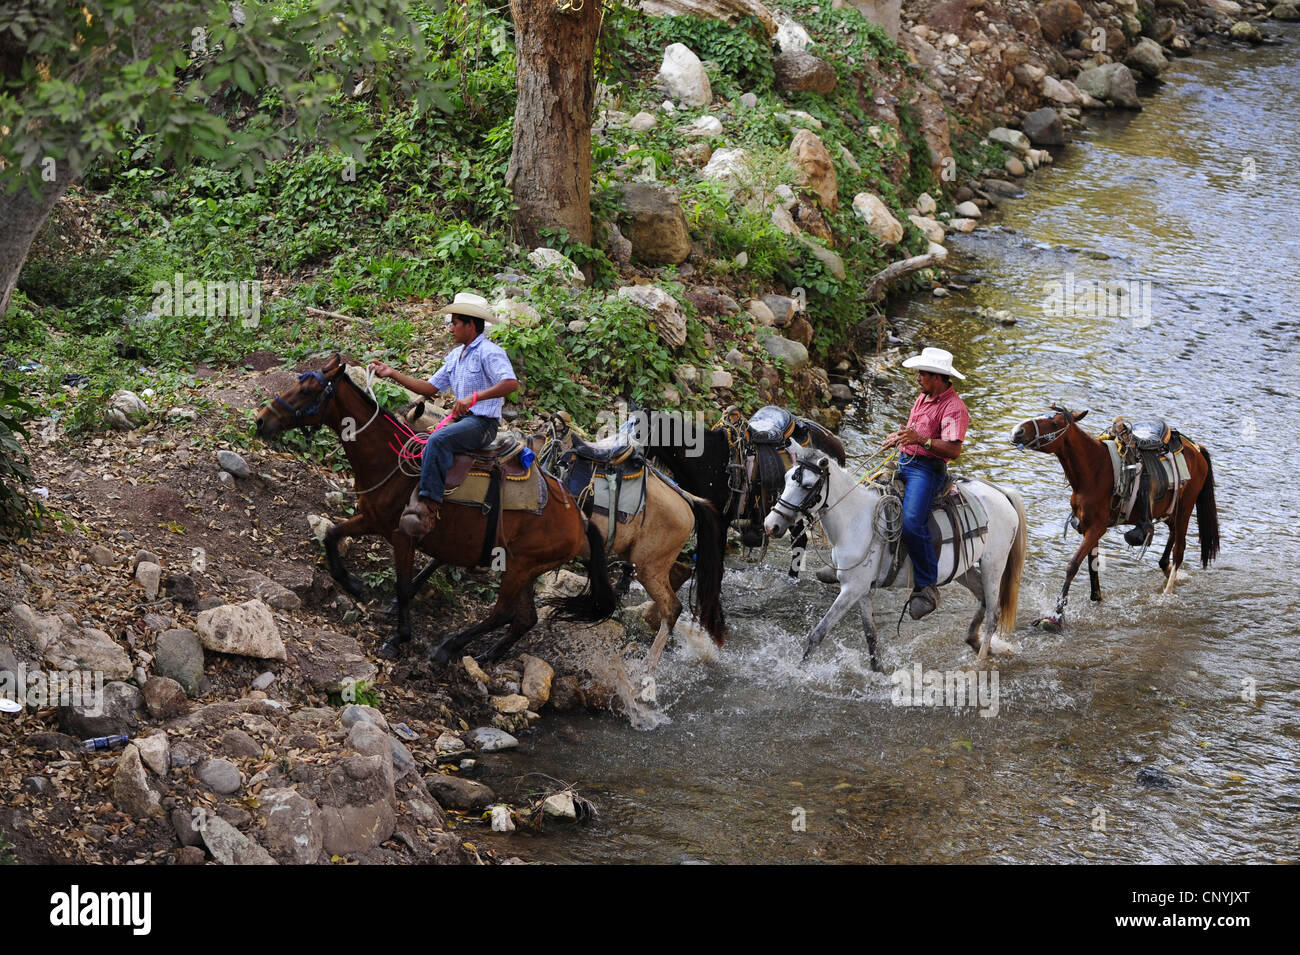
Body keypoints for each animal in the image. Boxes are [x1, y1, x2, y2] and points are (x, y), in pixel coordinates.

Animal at [256, 356, 621, 665]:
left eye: (307, 390)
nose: (261, 420)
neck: (390, 463)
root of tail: (579, 518)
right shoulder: (372, 520)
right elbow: (332, 534)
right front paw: (352, 582)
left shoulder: (403, 537)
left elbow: (403, 586)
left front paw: (399, 637)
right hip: (526, 568)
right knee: (524, 618)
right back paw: (487, 655)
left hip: (521, 566)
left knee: (503, 613)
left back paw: (448, 648)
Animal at [527, 418, 733, 670]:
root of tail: (688, 499)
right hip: (645, 558)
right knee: (681, 571)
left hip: (648, 567)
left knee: (672, 608)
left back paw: (647, 667)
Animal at [759, 444, 1024, 670]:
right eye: (786, 478)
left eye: (807, 485)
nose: (771, 525)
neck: (854, 520)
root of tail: (1001, 493)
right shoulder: (862, 590)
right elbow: (871, 636)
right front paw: (879, 672)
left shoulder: (851, 589)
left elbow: (819, 632)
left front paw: (800, 669)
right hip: (963, 569)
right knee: (982, 599)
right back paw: (976, 642)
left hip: (994, 563)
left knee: (993, 614)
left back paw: (980, 661)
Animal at [1003, 405, 1216, 634]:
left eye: (1054, 423)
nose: (1018, 431)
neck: (1094, 469)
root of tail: (1197, 449)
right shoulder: (1088, 527)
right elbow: (1092, 566)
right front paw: (1096, 599)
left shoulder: (1097, 528)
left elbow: (1073, 565)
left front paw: (1056, 616)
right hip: (1170, 510)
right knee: (1173, 534)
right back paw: (1166, 568)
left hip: (1186, 507)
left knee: (1180, 549)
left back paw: (1167, 593)